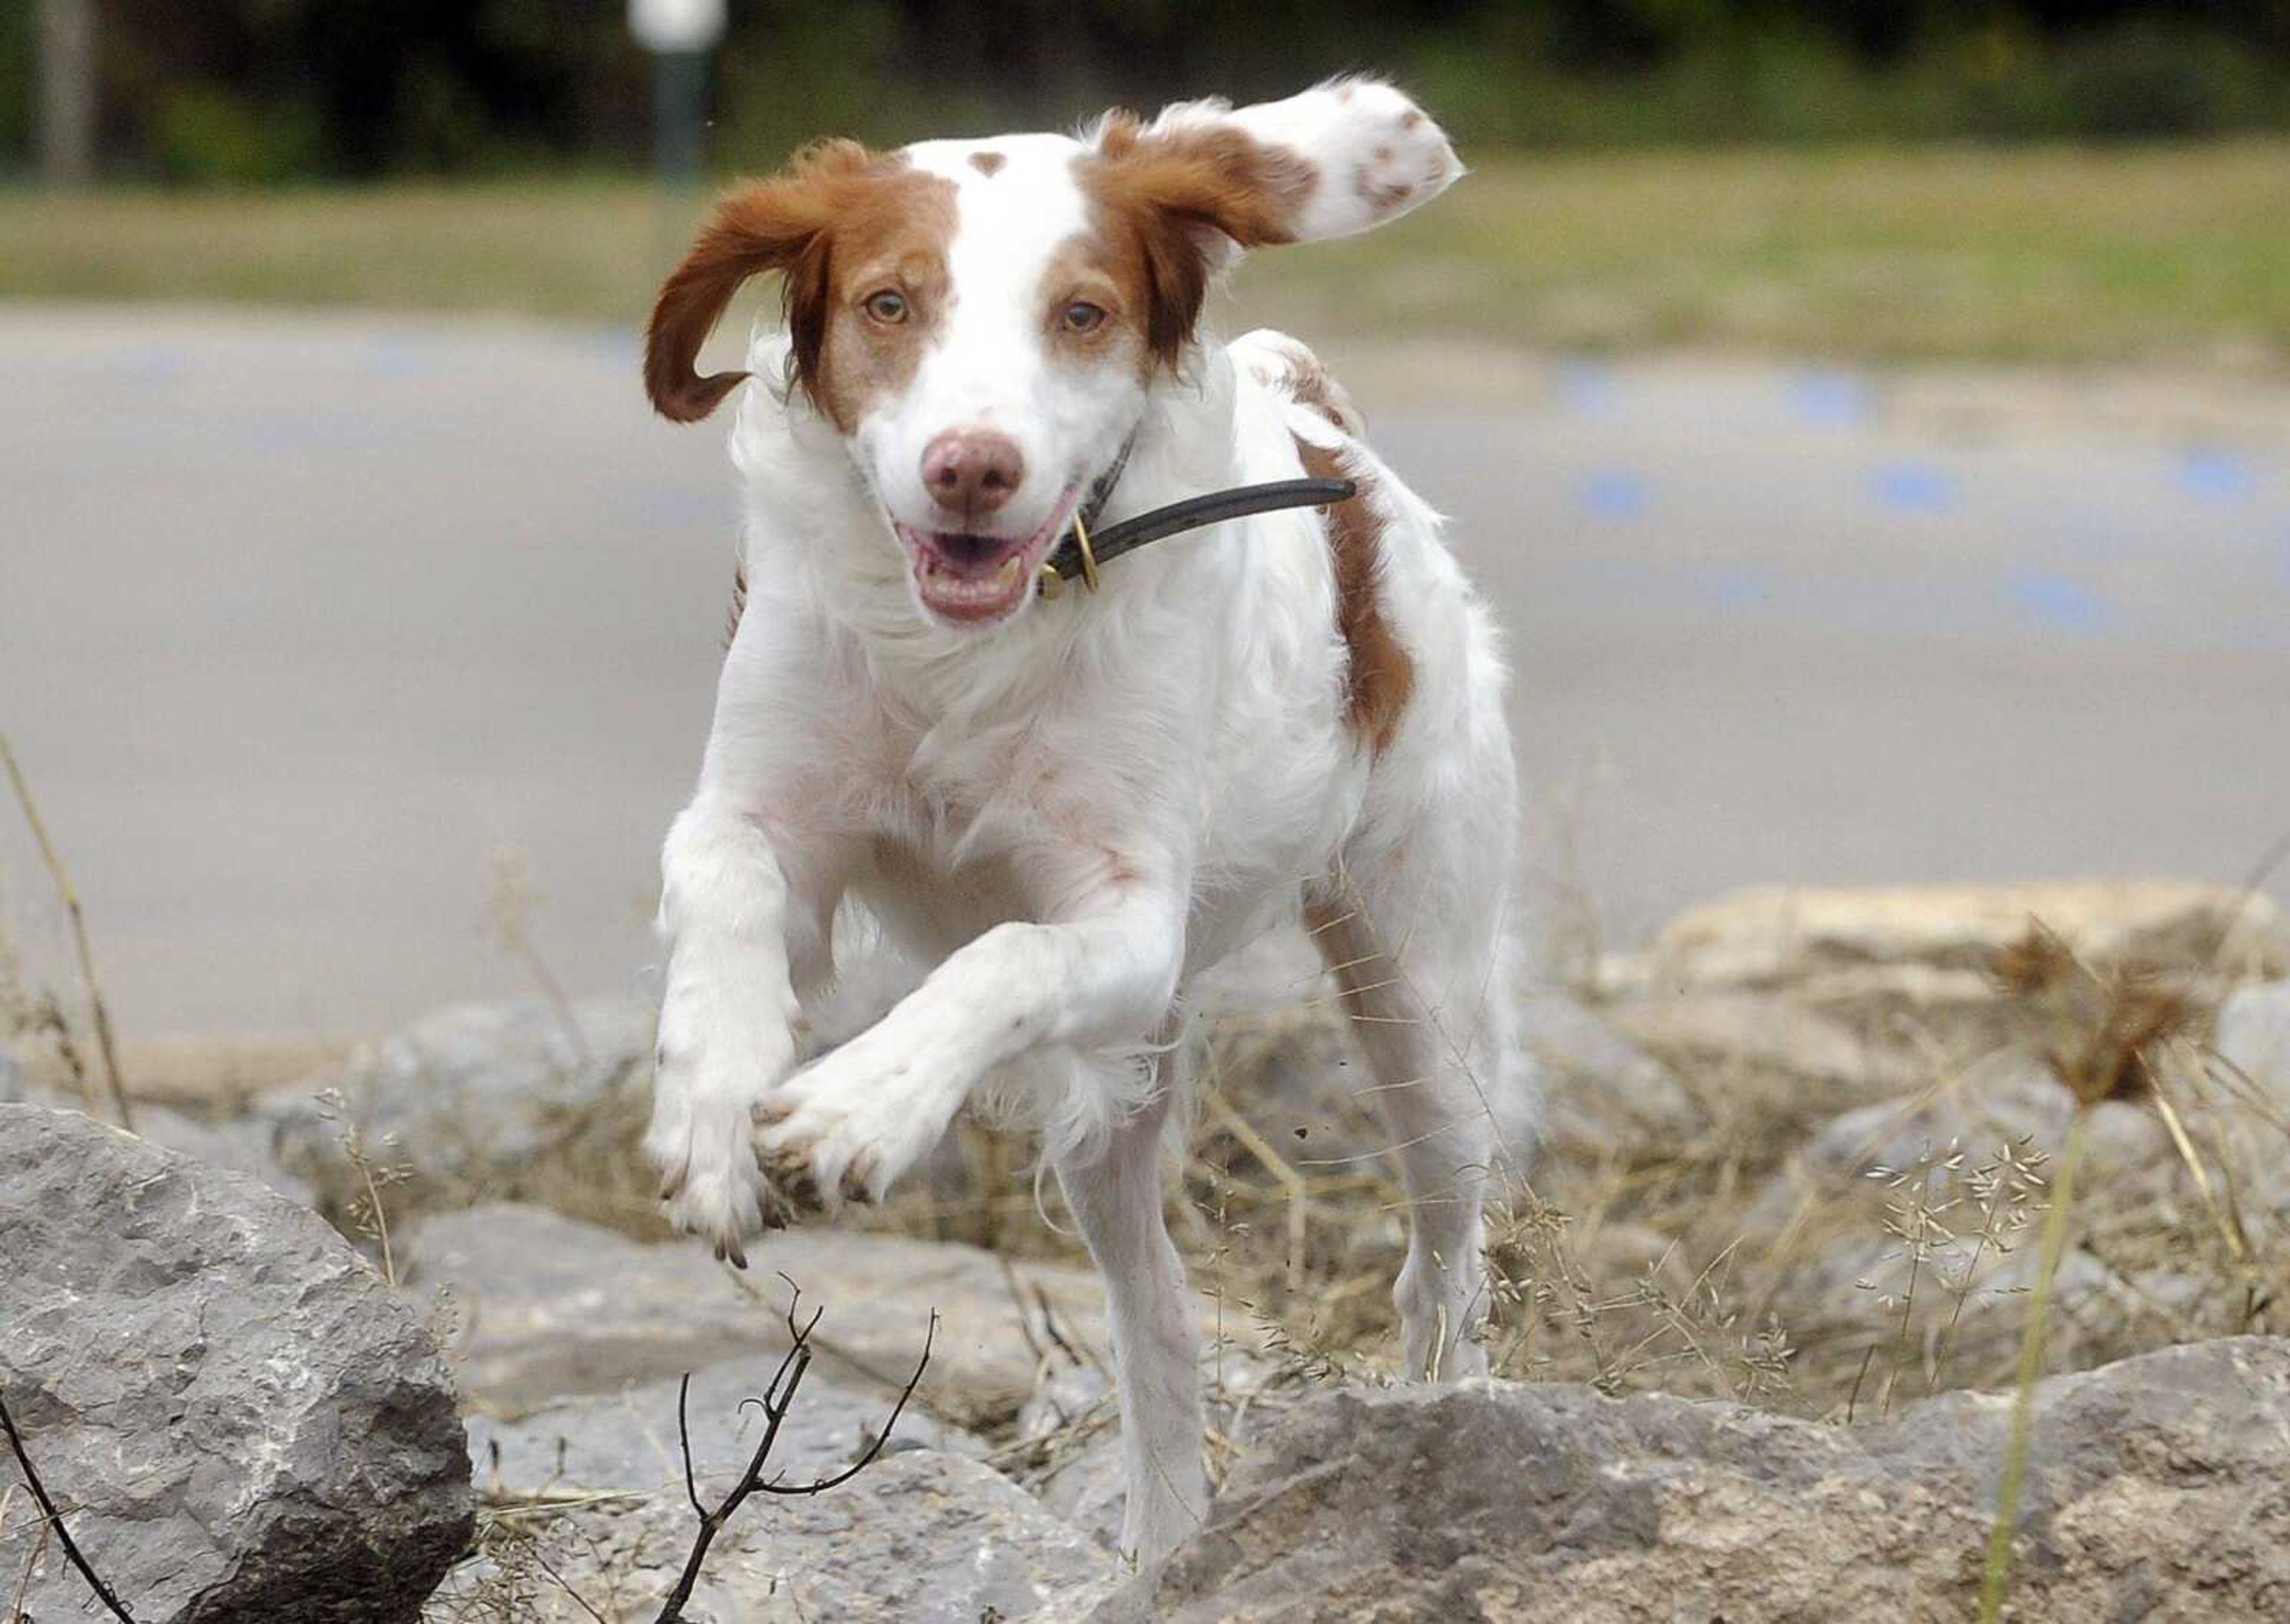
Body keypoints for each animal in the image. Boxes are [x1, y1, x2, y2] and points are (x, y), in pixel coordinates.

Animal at [645, 79, 1530, 1557]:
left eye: (1082, 312)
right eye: (891, 303)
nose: (971, 470)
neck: (969, 648)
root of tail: (1324, 415)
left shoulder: (1130, 922)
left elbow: (1001, 957)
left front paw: (860, 1108)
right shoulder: (768, 812)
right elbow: (722, 888)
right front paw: (710, 1116)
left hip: (1423, 1002)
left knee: (1443, 1269)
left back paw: (1448, 1428)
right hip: (1116, 1117)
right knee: (1159, 1319)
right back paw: (1163, 1556)